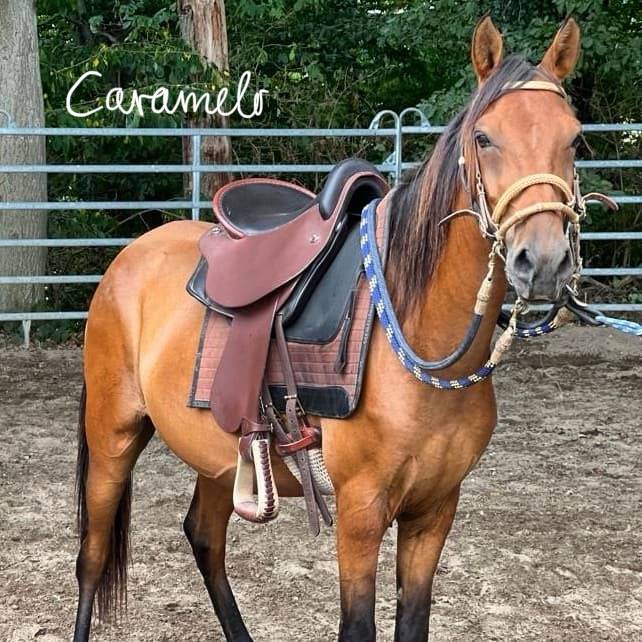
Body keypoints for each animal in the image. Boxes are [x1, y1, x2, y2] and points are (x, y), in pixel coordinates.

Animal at [73, 16, 584, 642]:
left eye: (575, 139)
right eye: (485, 138)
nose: (544, 262)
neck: (415, 337)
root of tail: (128, 258)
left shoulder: (435, 511)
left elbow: (413, 620)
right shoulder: (360, 512)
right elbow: (357, 625)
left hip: (218, 454)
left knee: (204, 538)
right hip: (113, 435)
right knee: (93, 554)